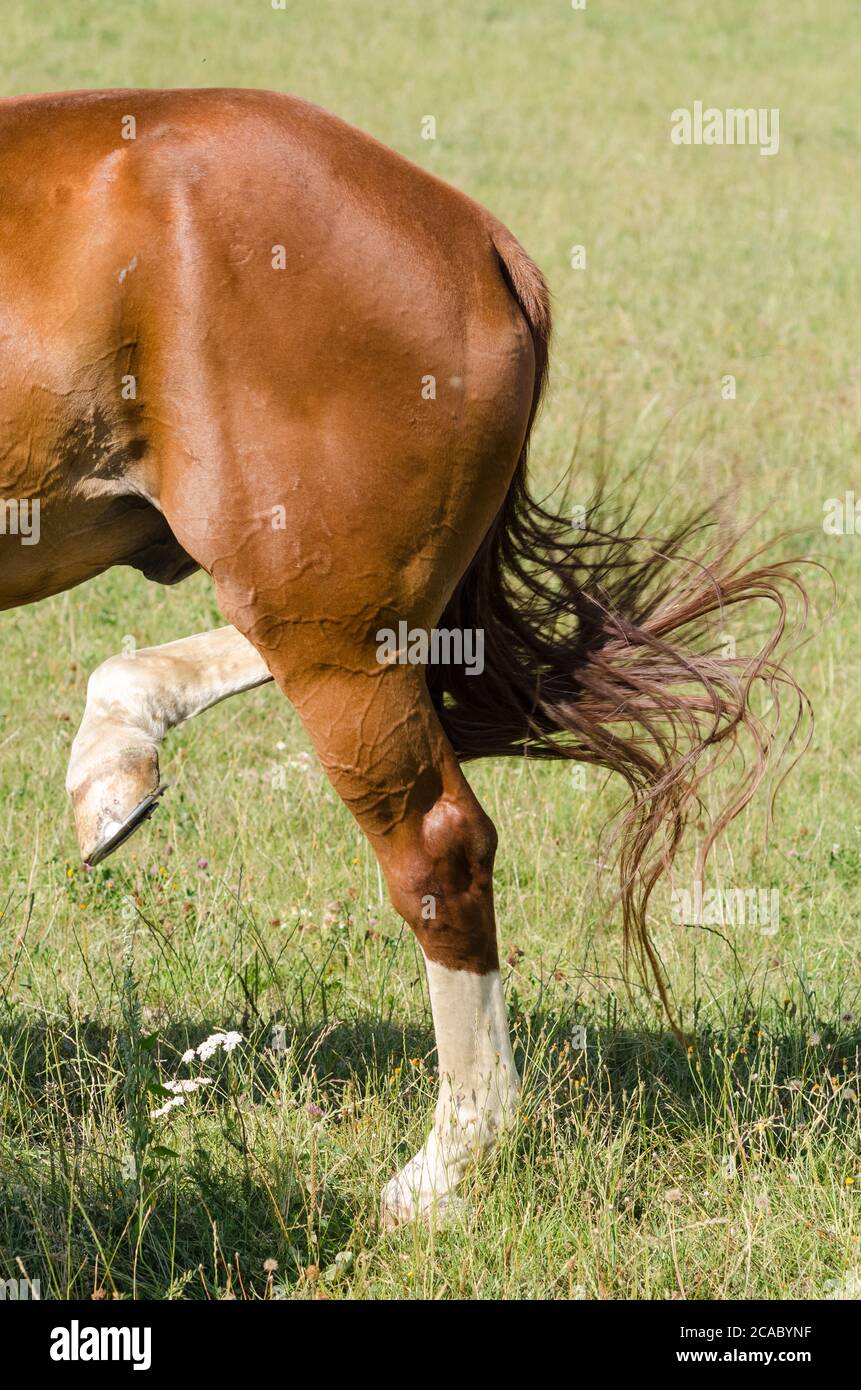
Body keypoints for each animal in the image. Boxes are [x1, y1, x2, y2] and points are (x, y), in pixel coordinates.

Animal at [1, 86, 806, 1223]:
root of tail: (476, 237)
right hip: (333, 598)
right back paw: (117, 752)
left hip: (331, 628)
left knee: (441, 850)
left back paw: (448, 1166)